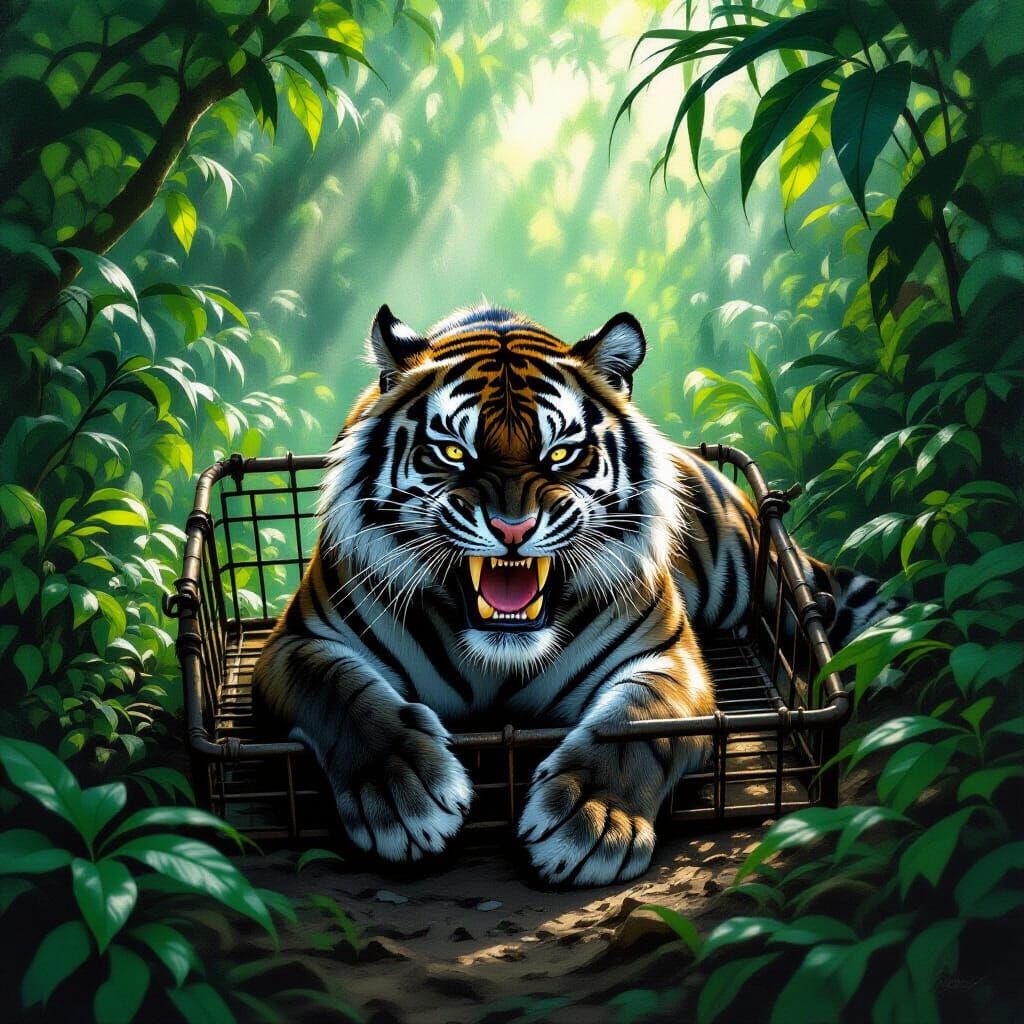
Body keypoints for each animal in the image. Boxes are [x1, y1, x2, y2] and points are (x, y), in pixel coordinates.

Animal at [253, 304, 897, 887]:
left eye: (561, 452)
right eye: (454, 452)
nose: (512, 528)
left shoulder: (669, 657)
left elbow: (636, 725)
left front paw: (592, 821)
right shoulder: (296, 644)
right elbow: (346, 697)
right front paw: (404, 792)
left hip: (748, 568)